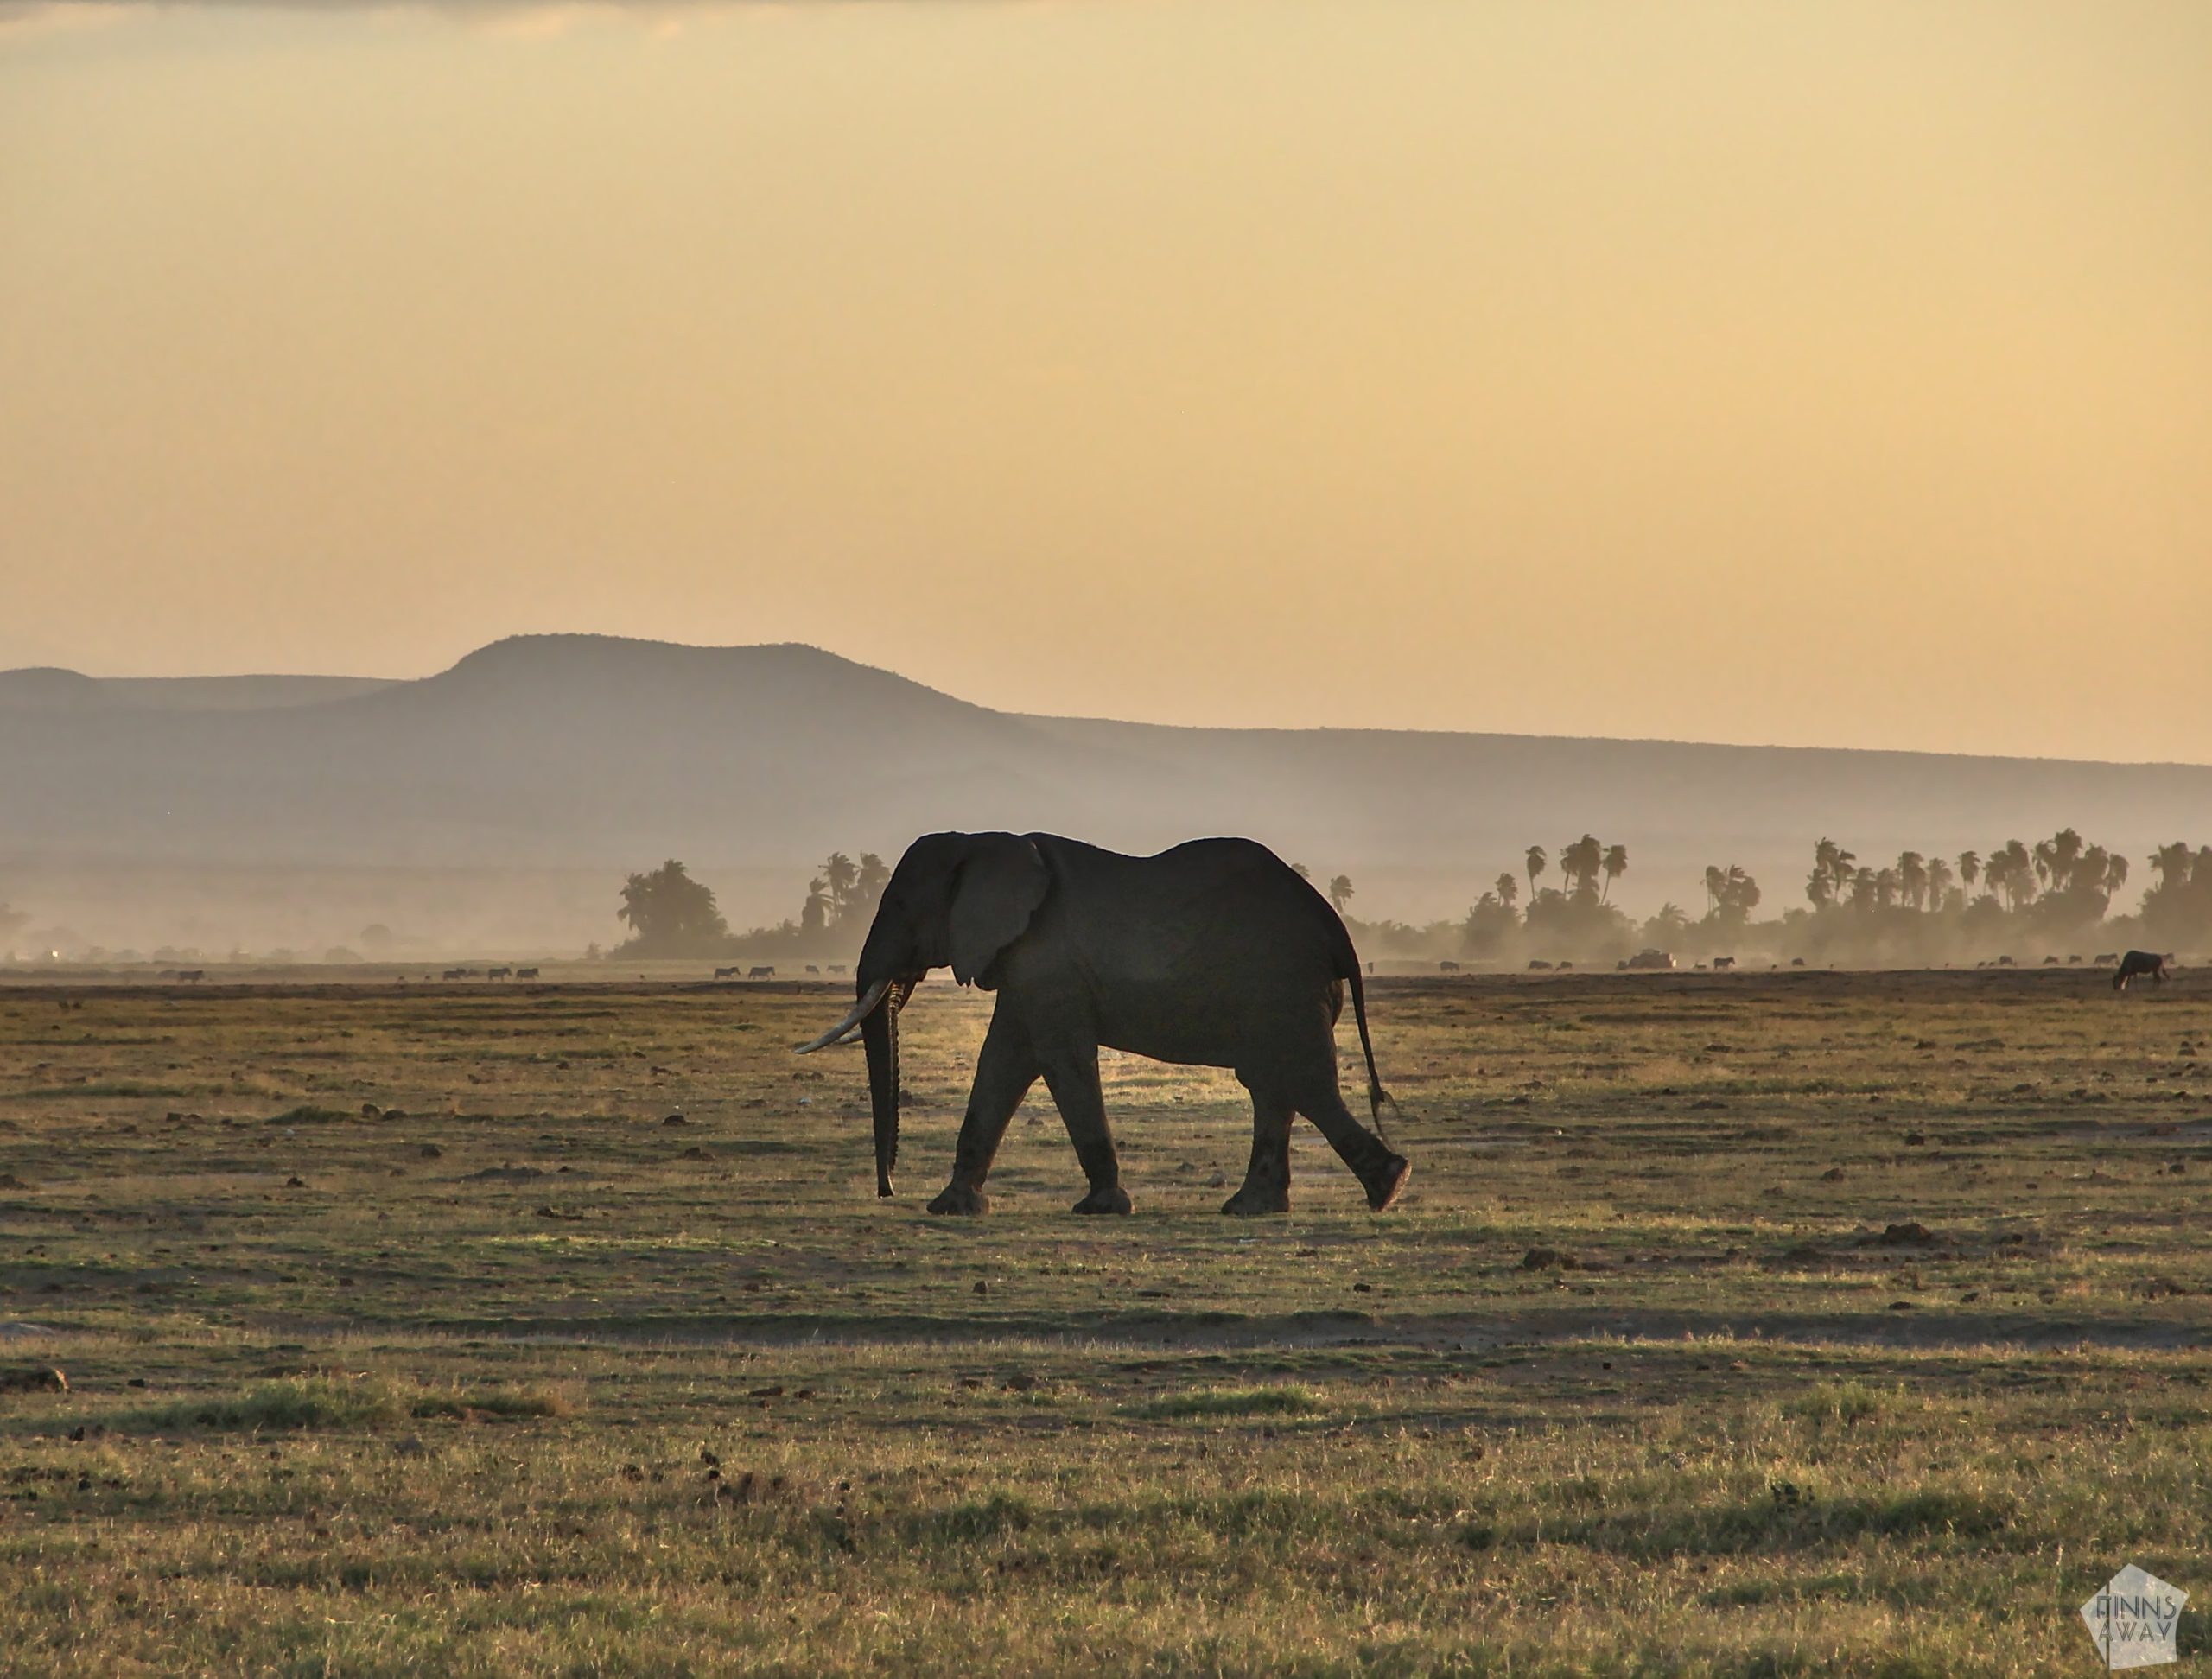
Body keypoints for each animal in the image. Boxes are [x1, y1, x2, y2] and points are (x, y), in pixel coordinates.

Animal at [796, 832, 1407, 1217]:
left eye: (901, 907)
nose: (887, 1190)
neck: (981, 840)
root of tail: (1337, 931)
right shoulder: (1026, 967)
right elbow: (1002, 1062)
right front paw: (952, 1208)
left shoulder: (1049, 963)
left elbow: (1059, 1060)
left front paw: (1100, 1209)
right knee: (1273, 1083)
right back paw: (1254, 1208)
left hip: (1283, 986)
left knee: (1298, 1080)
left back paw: (1387, 1186)